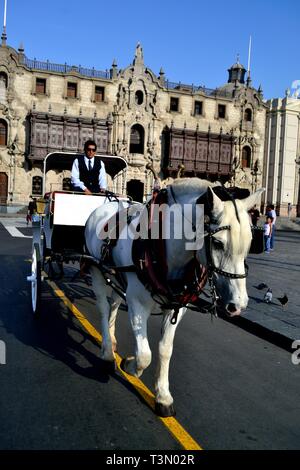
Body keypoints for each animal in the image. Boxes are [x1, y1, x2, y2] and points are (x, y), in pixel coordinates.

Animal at [84, 178, 262, 416]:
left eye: (251, 244)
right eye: (217, 243)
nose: (239, 305)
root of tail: (108, 204)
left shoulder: (177, 307)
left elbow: (165, 350)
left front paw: (163, 396)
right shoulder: (137, 303)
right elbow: (144, 355)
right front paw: (128, 364)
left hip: (116, 276)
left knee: (113, 305)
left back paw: (110, 342)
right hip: (96, 271)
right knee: (104, 310)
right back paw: (107, 355)